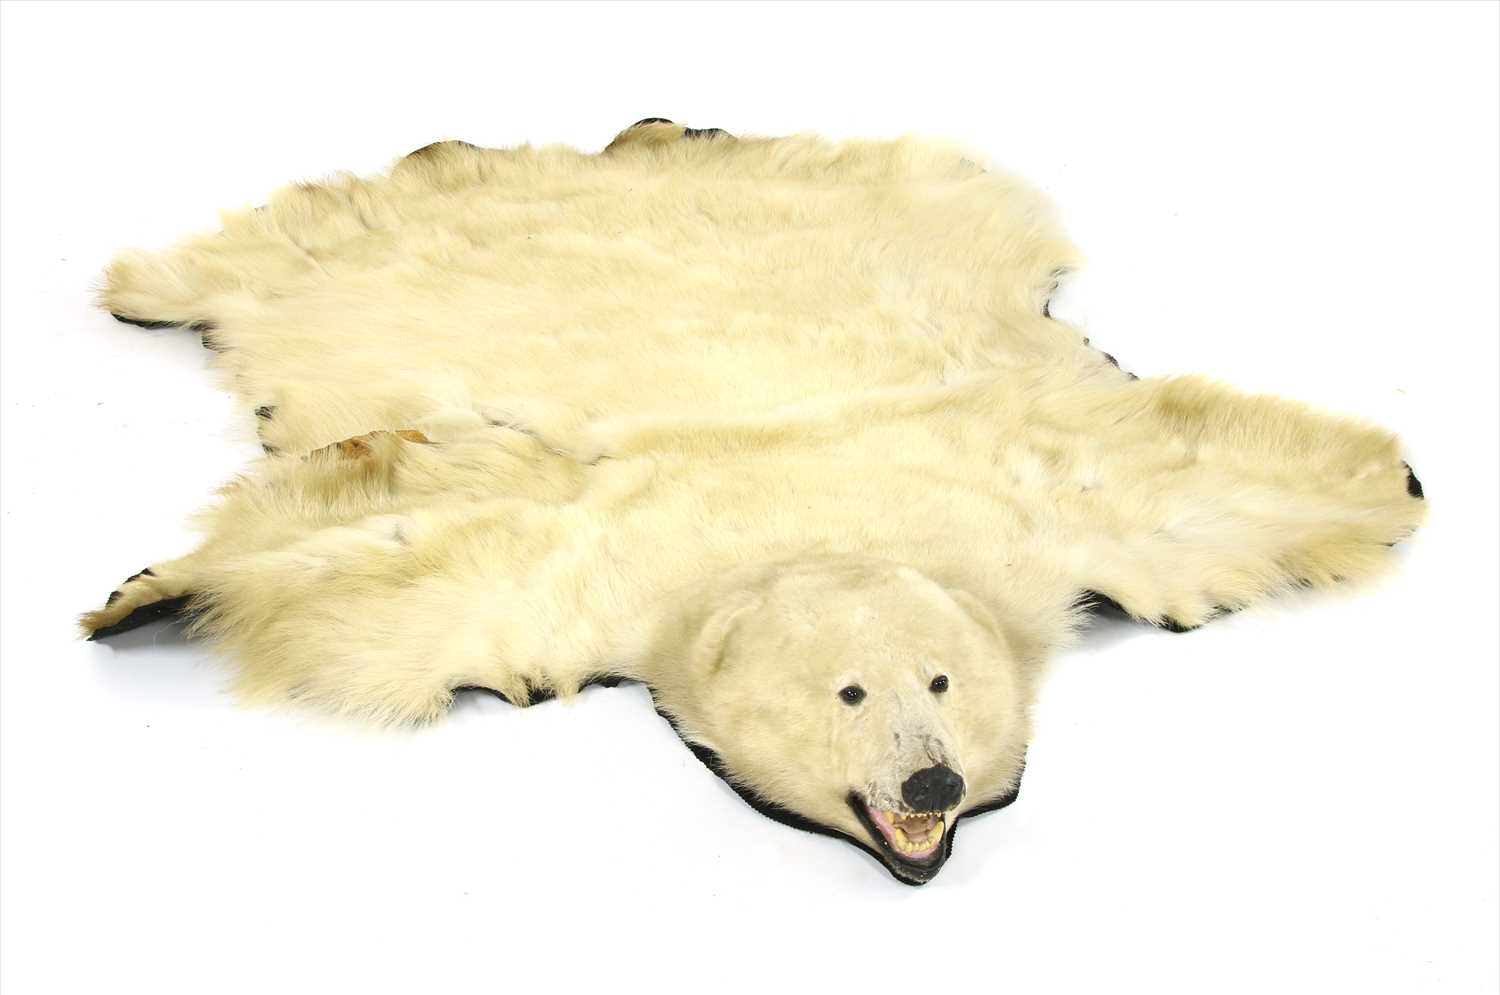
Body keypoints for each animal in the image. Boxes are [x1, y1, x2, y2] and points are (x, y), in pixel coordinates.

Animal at [79, 119, 1426, 884]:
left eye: (943, 680)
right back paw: (140, 282)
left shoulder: (1052, 486)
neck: (809, 518)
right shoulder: (559, 570)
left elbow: (1199, 475)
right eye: (852, 691)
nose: (933, 787)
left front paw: (1384, 477)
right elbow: (374, 557)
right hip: (390, 247)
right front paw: (142, 592)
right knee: (296, 239)